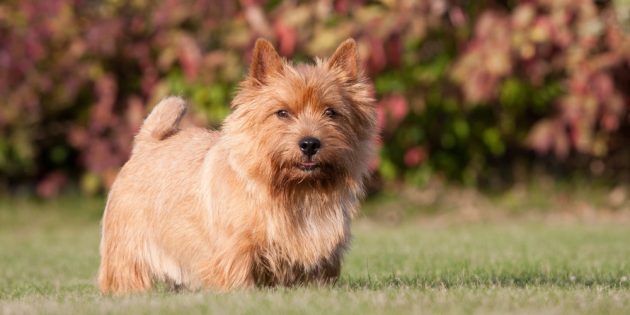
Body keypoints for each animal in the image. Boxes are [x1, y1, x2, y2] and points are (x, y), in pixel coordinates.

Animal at [97, 39, 378, 294]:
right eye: (282, 113)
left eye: (331, 112)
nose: (309, 143)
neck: (296, 190)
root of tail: (147, 143)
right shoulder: (235, 246)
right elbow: (237, 272)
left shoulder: (323, 246)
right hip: (127, 246)